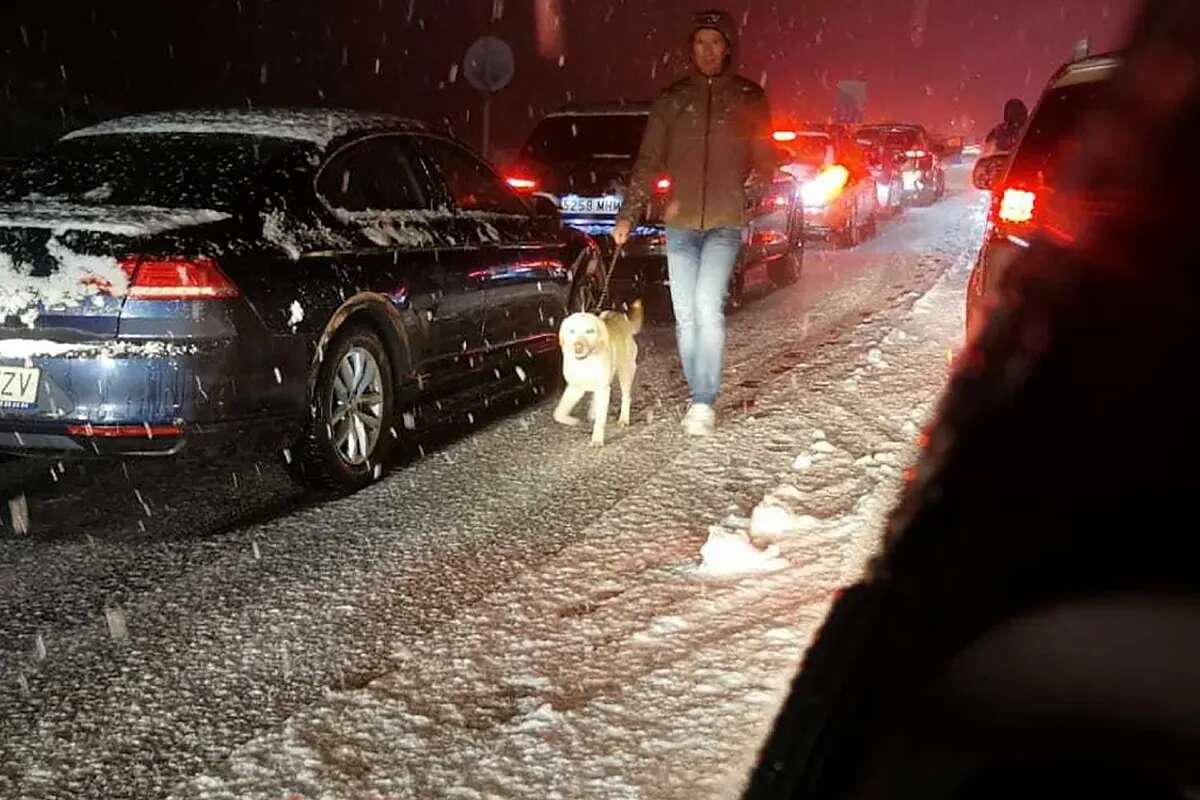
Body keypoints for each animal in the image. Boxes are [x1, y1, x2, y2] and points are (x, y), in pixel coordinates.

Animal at [554, 303, 643, 448]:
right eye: (571, 331)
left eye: (590, 331)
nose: (578, 347)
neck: (585, 363)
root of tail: (621, 317)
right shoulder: (575, 388)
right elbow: (558, 413)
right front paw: (572, 421)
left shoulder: (602, 388)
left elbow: (601, 420)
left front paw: (597, 439)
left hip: (625, 371)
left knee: (626, 397)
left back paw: (623, 419)